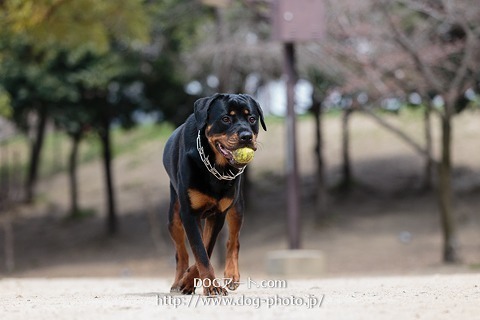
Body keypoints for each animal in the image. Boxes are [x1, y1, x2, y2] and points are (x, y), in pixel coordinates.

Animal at [162, 92, 266, 296]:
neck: (215, 166)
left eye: (252, 119)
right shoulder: (189, 214)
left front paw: (193, 281)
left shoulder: (218, 214)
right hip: (174, 215)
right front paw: (206, 285)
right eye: (225, 119)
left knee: (233, 241)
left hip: (237, 207)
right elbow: (200, 251)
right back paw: (177, 281)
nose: (246, 136)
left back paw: (231, 275)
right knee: (181, 252)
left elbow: (207, 247)